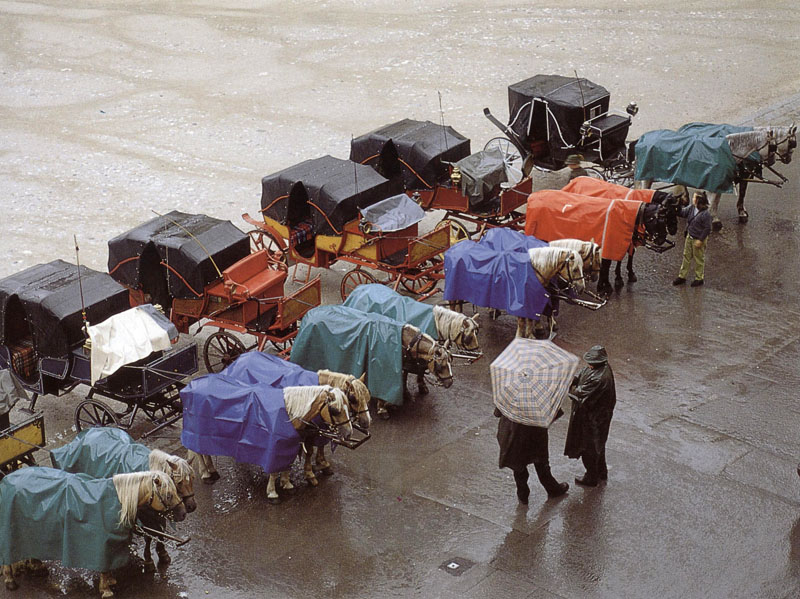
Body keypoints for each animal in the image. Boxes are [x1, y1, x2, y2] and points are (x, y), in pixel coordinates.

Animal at [0, 472, 184, 596]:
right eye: (169, 494)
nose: (183, 513)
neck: (118, 500)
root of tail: (6, 480)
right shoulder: (102, 545)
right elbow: (104, 567)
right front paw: (106, 589)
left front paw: (110, 581)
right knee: (8, 554)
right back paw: (10, 580)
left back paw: (35, 566)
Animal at [50, 428, 197, 576]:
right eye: (179, 482)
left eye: (192, 478)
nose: (191, 507)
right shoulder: (144, 515)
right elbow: (149, 537)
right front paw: (148, 560)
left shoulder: (160, 511)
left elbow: (161, 531)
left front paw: (162, 553)